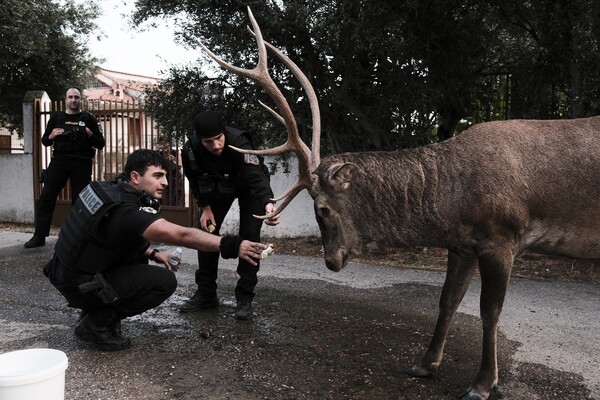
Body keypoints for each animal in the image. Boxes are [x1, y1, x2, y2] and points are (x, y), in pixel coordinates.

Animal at [199, 7, 600, 400]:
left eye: (323, 209)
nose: (331, 261)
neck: (452, 200)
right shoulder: (463, 244)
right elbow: (447, 301)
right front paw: (423, 365)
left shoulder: (501, 237)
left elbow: (490, 313)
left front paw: (482, 385)